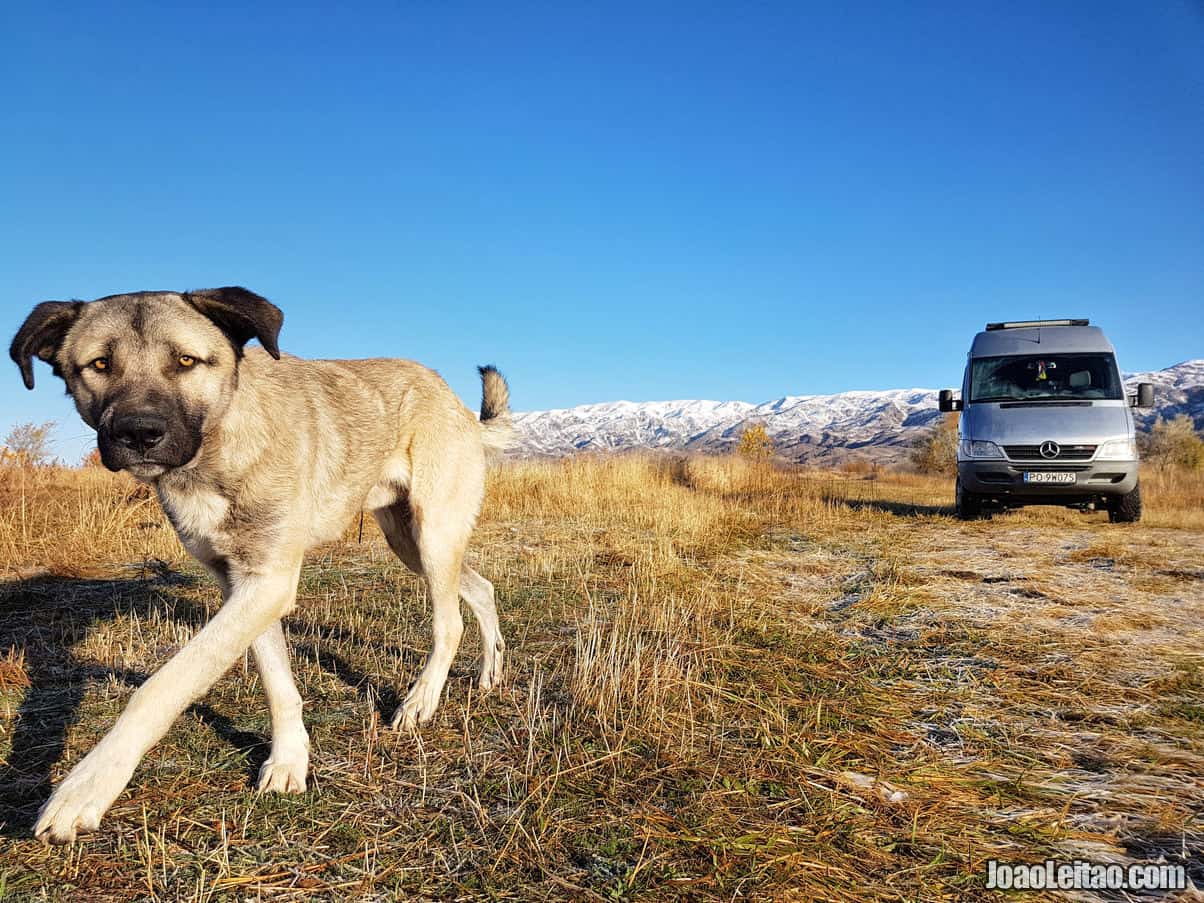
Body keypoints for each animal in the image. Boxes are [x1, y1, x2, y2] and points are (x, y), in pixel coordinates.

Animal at [8, 287, 512, 842]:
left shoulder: (268, 582)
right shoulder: (242, 584)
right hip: (409, 540)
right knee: (481, 587)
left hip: (433, 533)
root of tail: (455, 402)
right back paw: (490, 671)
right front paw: (290, 759)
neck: (215, 453)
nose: (139, 433)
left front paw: (86, 786)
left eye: (186, 361)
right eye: (99, 364)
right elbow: (276, 681)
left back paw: (420, 701)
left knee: (449, 622)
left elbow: (165, 684)